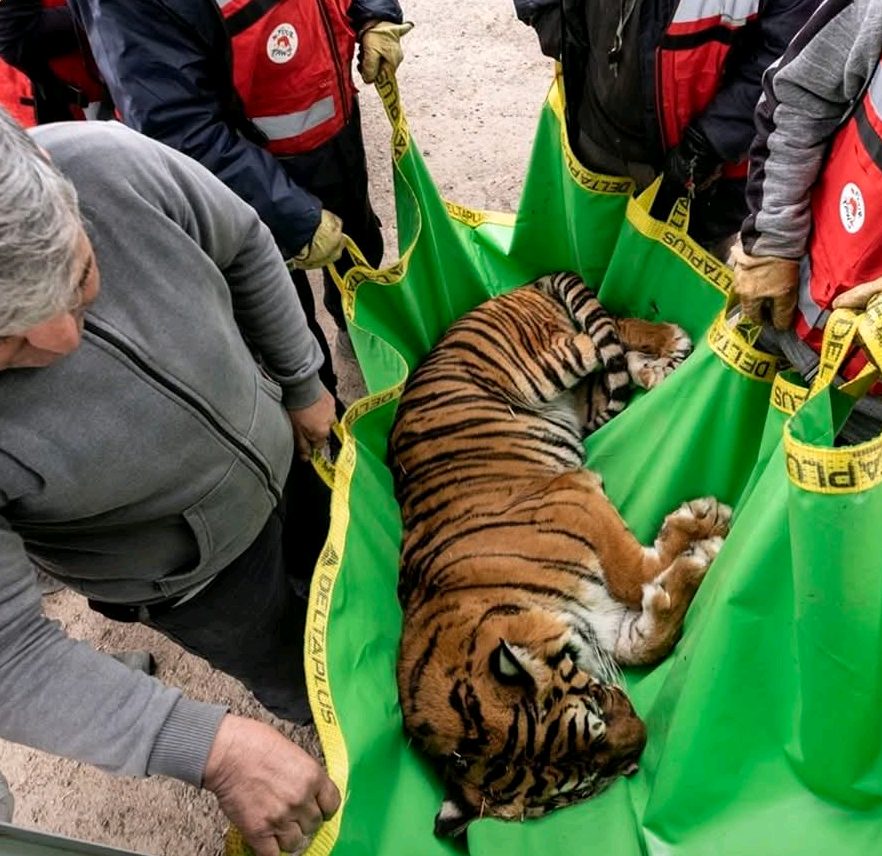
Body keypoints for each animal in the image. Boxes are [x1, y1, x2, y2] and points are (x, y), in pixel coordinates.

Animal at [389, 271, 731, 836]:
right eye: (582, 784)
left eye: (595, 710)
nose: (641, 746)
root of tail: (514, 290)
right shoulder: (608, 627)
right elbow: (648, 638)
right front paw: (691, 556)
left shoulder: (574, 494)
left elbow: (631, 571)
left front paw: (704, 525)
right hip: (579, 397)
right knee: (608, 351)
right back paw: (658, 364)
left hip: (543, 365)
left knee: (595, 334)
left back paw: (669, 342)